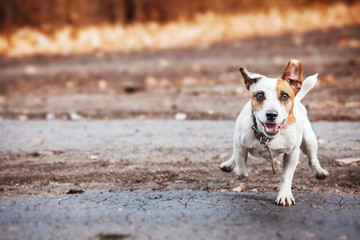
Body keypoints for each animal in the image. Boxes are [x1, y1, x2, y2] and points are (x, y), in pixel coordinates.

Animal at [219, 59, 330, 206]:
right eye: (260, 95)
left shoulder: (292, 153)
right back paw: (229, 164)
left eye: (284, 96)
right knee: (235, 155)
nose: (271, 114)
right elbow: (241, 167)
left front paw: (284, 195)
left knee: (313, 158)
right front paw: (238, 170)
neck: (266, 137)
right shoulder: (240, 146)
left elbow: (286, 176)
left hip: (309, 140)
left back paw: (319, 171)